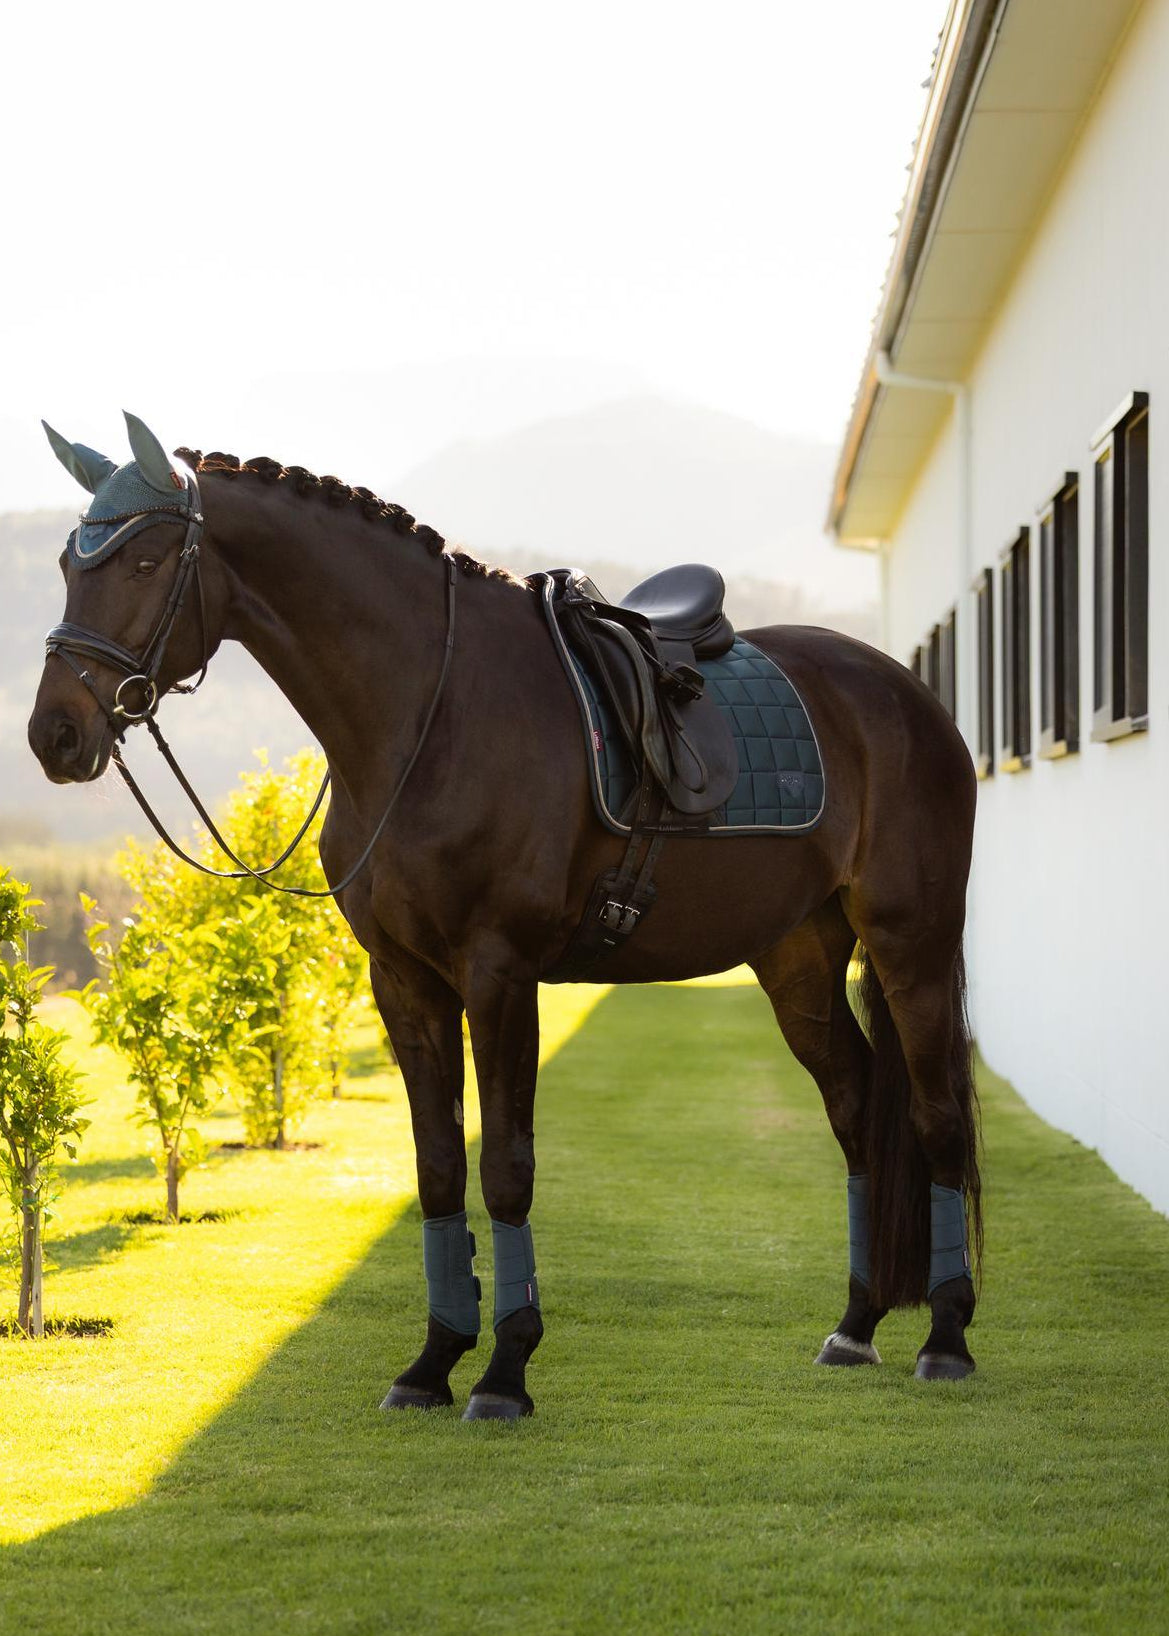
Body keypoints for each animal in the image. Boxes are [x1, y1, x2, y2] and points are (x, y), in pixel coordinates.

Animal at [28, 415, 981, 1419]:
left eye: (142, 562)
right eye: (67, 561)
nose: (55, 734)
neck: (428, 714)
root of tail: (905, 694)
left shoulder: (499, 974)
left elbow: (505, 1168)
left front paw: (505, 1370)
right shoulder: (403, 981)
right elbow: (439, 1166)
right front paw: (433, 1360)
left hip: (911, 945)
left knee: (936, 1117)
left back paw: (947, 1336)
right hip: (798, 959)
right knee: (855, 1108)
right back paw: (856, 1324)